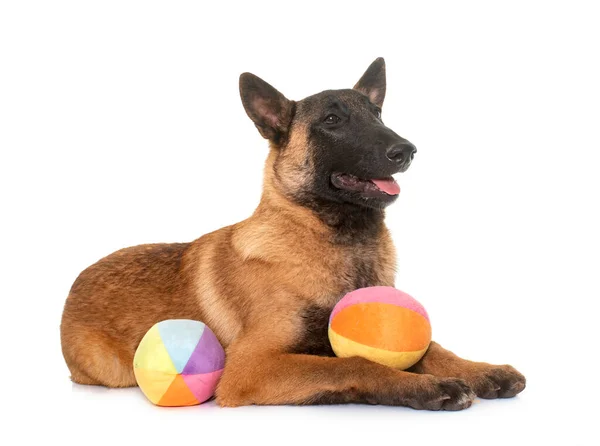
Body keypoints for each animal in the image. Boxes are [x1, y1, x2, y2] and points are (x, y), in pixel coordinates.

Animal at [61, 59, 524, 412]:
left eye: (377, 116)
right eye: (332, 120)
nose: (406, 150)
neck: (338, 241)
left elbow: (433, 349)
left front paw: (480, 370)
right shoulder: (252, 366)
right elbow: (355, 363)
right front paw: (429, 387)